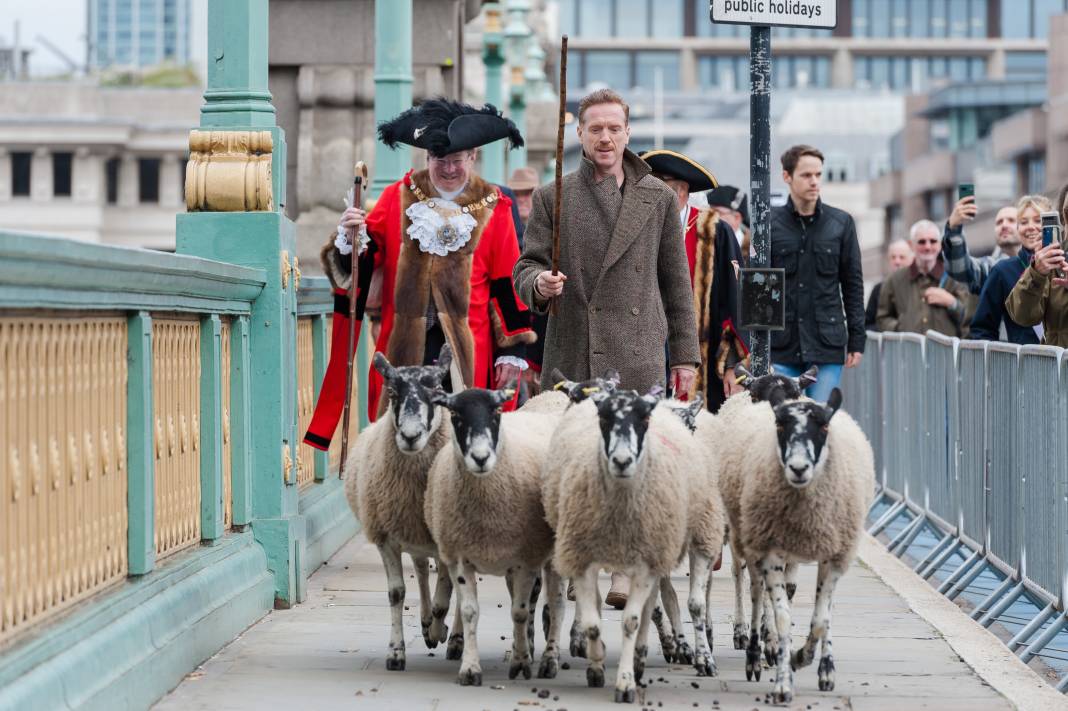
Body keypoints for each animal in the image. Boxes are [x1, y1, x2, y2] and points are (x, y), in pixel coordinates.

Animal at [341, 343, 459, 670]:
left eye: (437, 392)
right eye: (392, 392)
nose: (410, 436)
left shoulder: (446, 542)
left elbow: (445, 599)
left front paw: (438, 632)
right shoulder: (386, 538)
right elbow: (397, 593)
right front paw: (396, 652)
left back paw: (453, 639)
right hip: (415, 536)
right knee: (420, 570)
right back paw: (425, 622)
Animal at [420, 384, 563, 683]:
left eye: (496, 412)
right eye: (455, 414)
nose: (480, 458)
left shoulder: (526, 559)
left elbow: (519, 612)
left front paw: (520, 663)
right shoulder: (461, 557)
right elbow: (470, 611)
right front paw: (470, 668)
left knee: (556, 605)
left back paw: (550, 659)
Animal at [546, 384, 696, 700]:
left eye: (644, 420)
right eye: (603, 418)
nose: (622, 461)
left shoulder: (653, 554)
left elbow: (652, 608)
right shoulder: (579, 552)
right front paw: (590, 652)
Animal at [717, 388, 875, 704]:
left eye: (824, 426)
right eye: (780, 426)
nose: (799, 468)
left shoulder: (834, 553)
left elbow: (820, 619)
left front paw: (809, 661)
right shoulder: (769, 550)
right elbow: (780, 615)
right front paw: (783, 680)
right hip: (745, 536)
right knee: (751, 588)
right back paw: (751, 651)